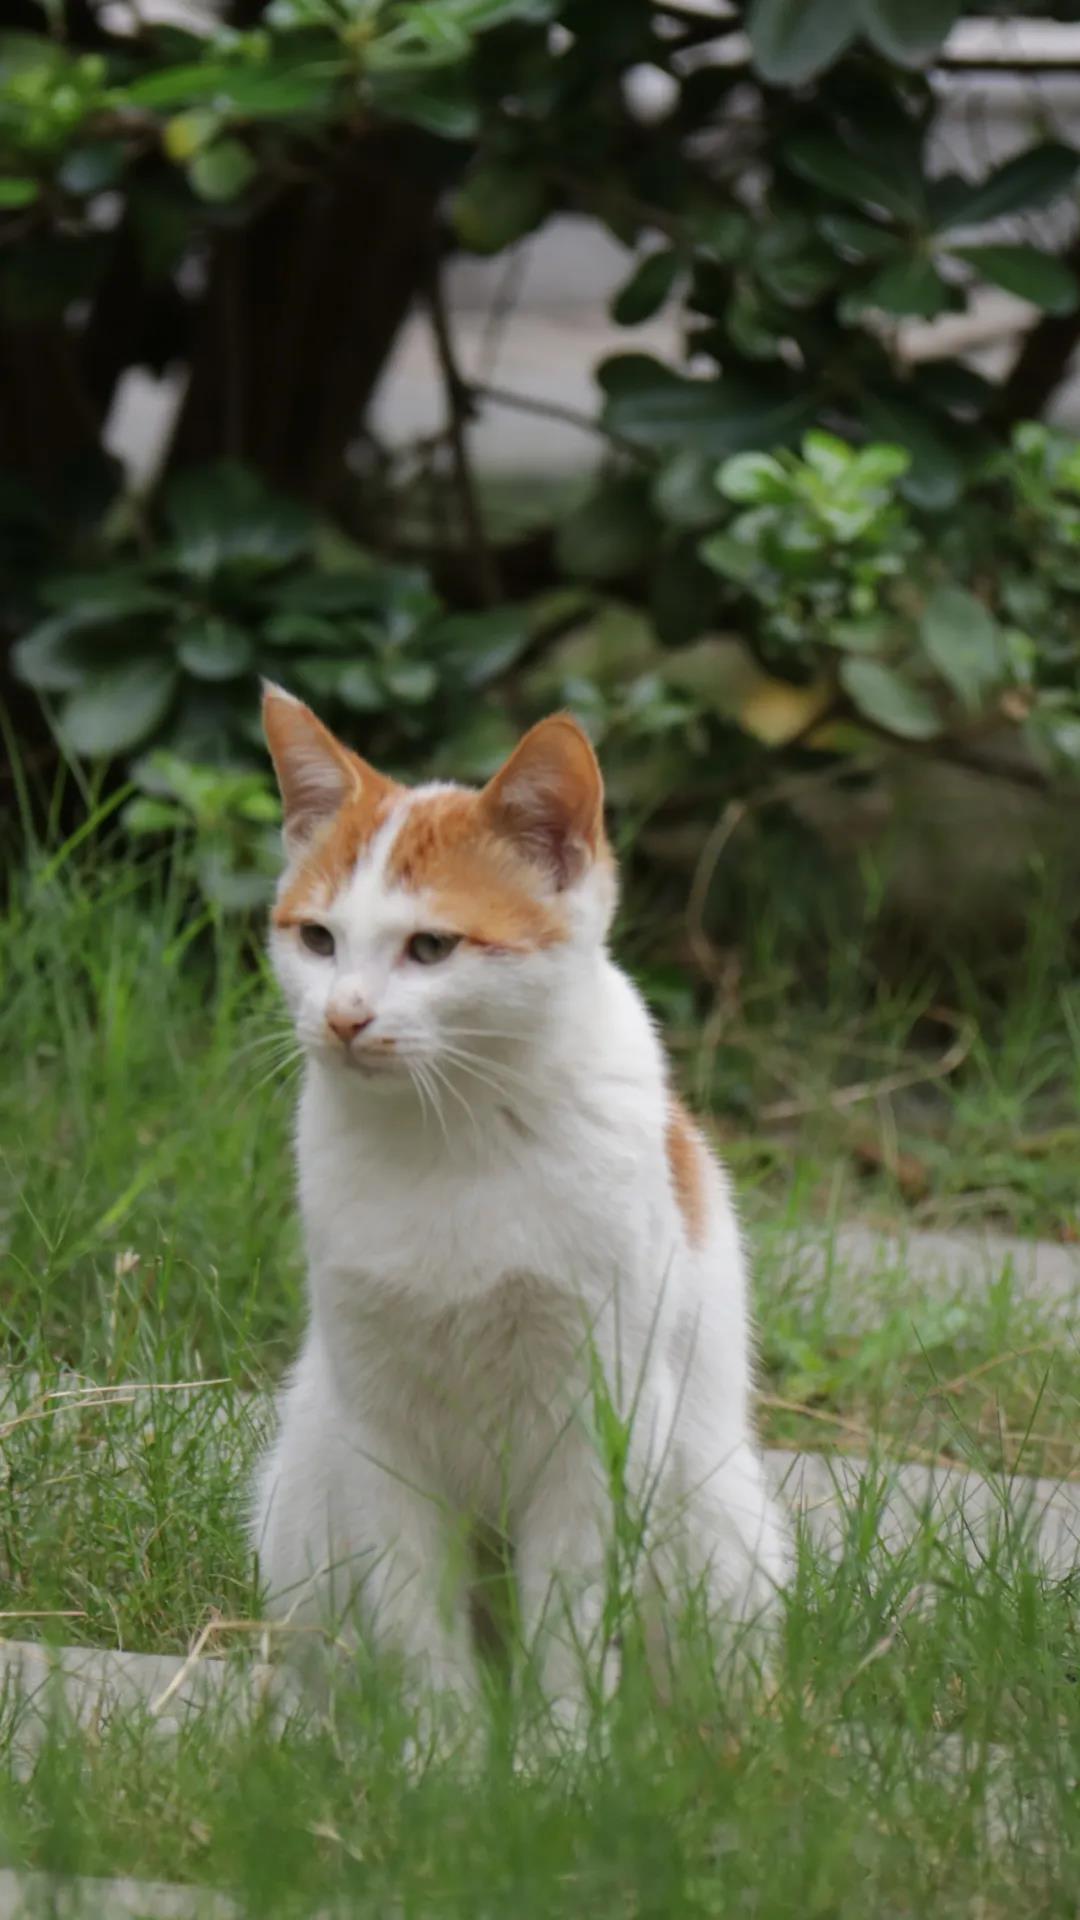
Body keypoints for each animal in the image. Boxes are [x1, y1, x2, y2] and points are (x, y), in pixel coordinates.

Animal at [252, 684, 790, 1728]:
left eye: (431, 947)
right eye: (318, 938)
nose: (342, 1016)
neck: (450, 1140)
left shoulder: (600, 1422)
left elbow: (570, 1621)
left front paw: (560, 1752)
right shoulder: (380, 1426)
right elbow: (415, 1613)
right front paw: (443, 1750)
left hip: (716, 1510)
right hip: (306, 1481)